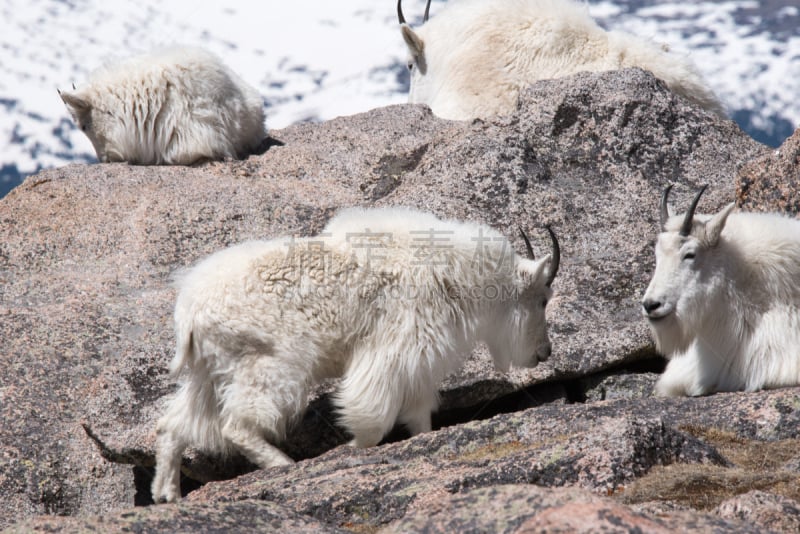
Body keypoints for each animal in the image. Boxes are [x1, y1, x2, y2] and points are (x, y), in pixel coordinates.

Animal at [152, 207, 564, 504]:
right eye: (543, 299)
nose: (545, 352)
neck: (457, 274)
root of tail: (187, 313)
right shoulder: (396, 345)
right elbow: (374, 411)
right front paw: (352, 445)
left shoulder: (417, 363)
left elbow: (420, 416)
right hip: (267, 362)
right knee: (235, 425)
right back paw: (283, 463)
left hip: (212, 371)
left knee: (175, 423)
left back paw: (166, 492)